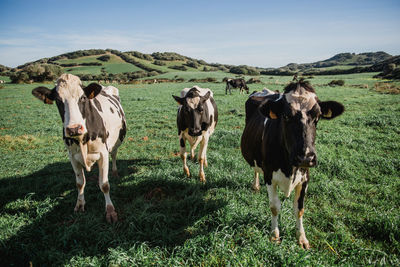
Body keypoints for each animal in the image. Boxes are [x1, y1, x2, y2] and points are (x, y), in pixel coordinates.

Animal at [31, 73, 126, 224]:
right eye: (58, 100)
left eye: (82, 98)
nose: (74, 128)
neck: (82, 140)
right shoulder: (72, 157)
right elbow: (80, 183)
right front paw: (80, 205)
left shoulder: (103, 154)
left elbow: (104, 184)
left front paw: (110, 211)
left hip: (116, 141)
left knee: (114, 154)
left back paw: (115, 172)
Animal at [239, 79, 346, 249]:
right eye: (286, 116)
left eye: (318, 117)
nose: (306, 157)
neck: (290, 167)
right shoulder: (269, 175)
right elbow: (275, 207)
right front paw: (274, 235)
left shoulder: (305, 177)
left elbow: (299, 209)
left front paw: (301, 238)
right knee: (256, 169)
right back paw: (255, 185)